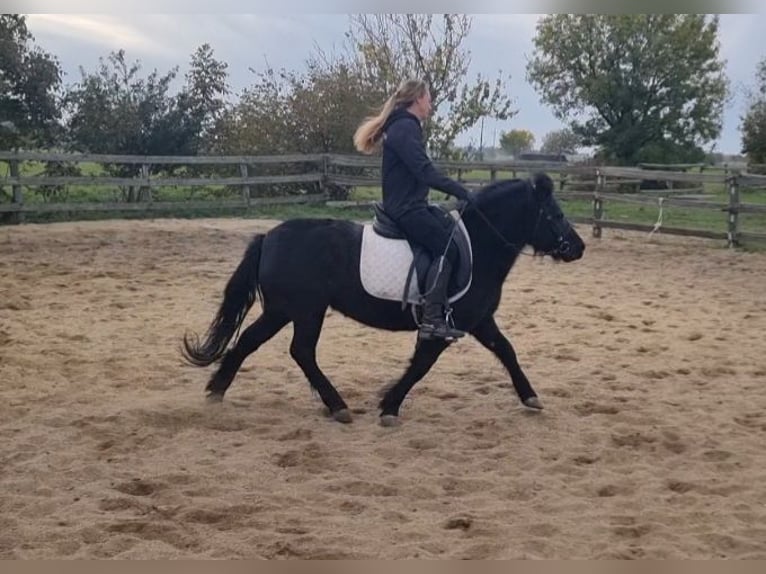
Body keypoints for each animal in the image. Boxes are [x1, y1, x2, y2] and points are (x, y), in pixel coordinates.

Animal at [182, 172, 585, 426]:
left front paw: (530, 397)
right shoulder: (445, 325)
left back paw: (216, 391)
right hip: (306, 310)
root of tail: (268, 237)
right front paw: (389, 405)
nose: (578, 247)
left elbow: (507, 351)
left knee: (250, 341)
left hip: (283, 310)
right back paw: (338, 406)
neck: (479, 244)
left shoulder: (480, 320)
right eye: (555, 214)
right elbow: (421, 365)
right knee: (301, 352)